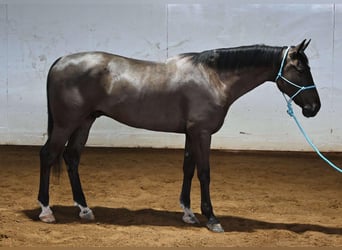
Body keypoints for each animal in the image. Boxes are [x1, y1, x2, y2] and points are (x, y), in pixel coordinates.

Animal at [38, 39, 320, 232]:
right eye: (300, 69)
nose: (314, 108)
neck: (214, 78)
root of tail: (61, 61)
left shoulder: (191, 133)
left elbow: (188, 168)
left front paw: (188, 213)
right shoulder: (202, 133)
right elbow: (204, 173)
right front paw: (212, 218)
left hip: (85, 122)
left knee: (72, 158)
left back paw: (84, 208)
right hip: (66, 123)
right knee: (48, 155)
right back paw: (46, 210)